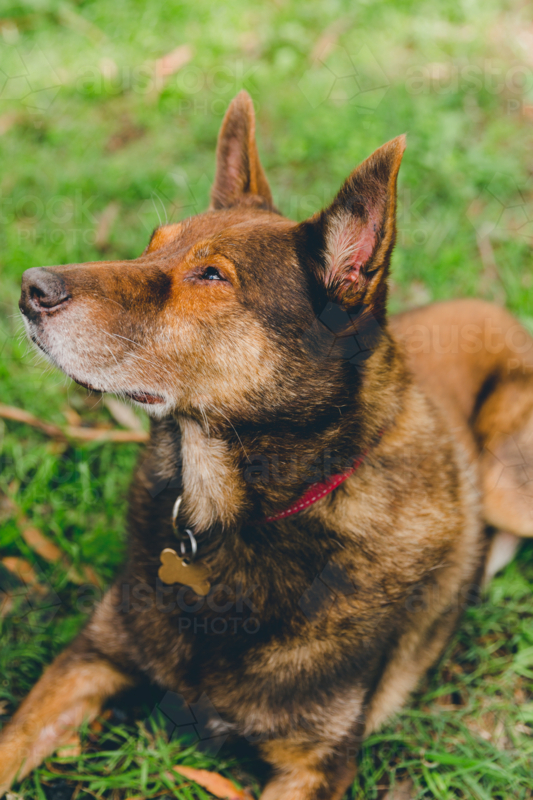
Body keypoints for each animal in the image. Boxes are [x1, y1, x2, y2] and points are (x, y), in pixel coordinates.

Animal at [2, 90, 532, 799]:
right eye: (150, 246)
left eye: (211, 276)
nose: (30, 287)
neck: (233, 518)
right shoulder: (91, 657)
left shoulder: (316, 763)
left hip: (509, 483)